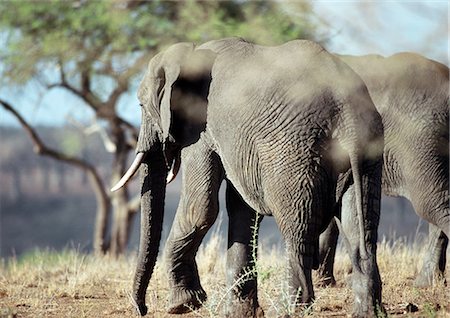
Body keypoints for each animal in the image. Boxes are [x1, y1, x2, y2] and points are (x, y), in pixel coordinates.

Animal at [111, 38, 384, 318]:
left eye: (141, 105)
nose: (141, 308)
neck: (192, 52)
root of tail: (347, 113)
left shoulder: (201, 127)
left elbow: (201, 208)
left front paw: (182, 305)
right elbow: (242, 208)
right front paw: (238, 313)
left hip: (293, 154)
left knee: (297, 229)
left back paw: (288, 310)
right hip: (367, 154)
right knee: (361, 230)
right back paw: (367, 312)